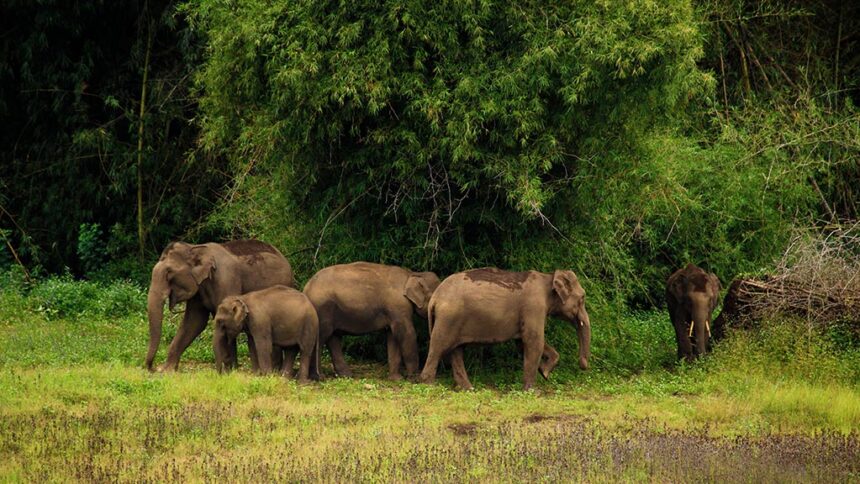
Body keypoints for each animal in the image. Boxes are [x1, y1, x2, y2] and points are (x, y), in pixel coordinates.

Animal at [144, 240, 296, 372]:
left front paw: (229, 371)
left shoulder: (226, 279)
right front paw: (167, 371)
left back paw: (275, 370)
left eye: (169, 273)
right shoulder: (199, 287)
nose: (153, 368)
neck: (194, 247)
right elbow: (194, 322)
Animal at [302, 262, 440, 380]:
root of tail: (306, 288)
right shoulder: (398, 306)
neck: (412, 273)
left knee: (333, 338)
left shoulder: (393, 311)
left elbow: (393, 337)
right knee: (321, 339)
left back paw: (346, 376)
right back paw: (319, 377)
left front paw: (396, 379)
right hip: (322, 309)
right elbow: (407, 333)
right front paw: (414, 378)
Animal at [418, 266, 592, 392]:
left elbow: (522, 343)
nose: (583, 366)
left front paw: (544, 372)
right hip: (448, 319)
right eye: (582, 298)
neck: (548, 277)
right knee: (438, 347)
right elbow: (533, 341)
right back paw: (429, 386)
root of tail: (435, 297)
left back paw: (469, 389)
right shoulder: (533, 306)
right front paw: (533, 391)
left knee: (456, 351)